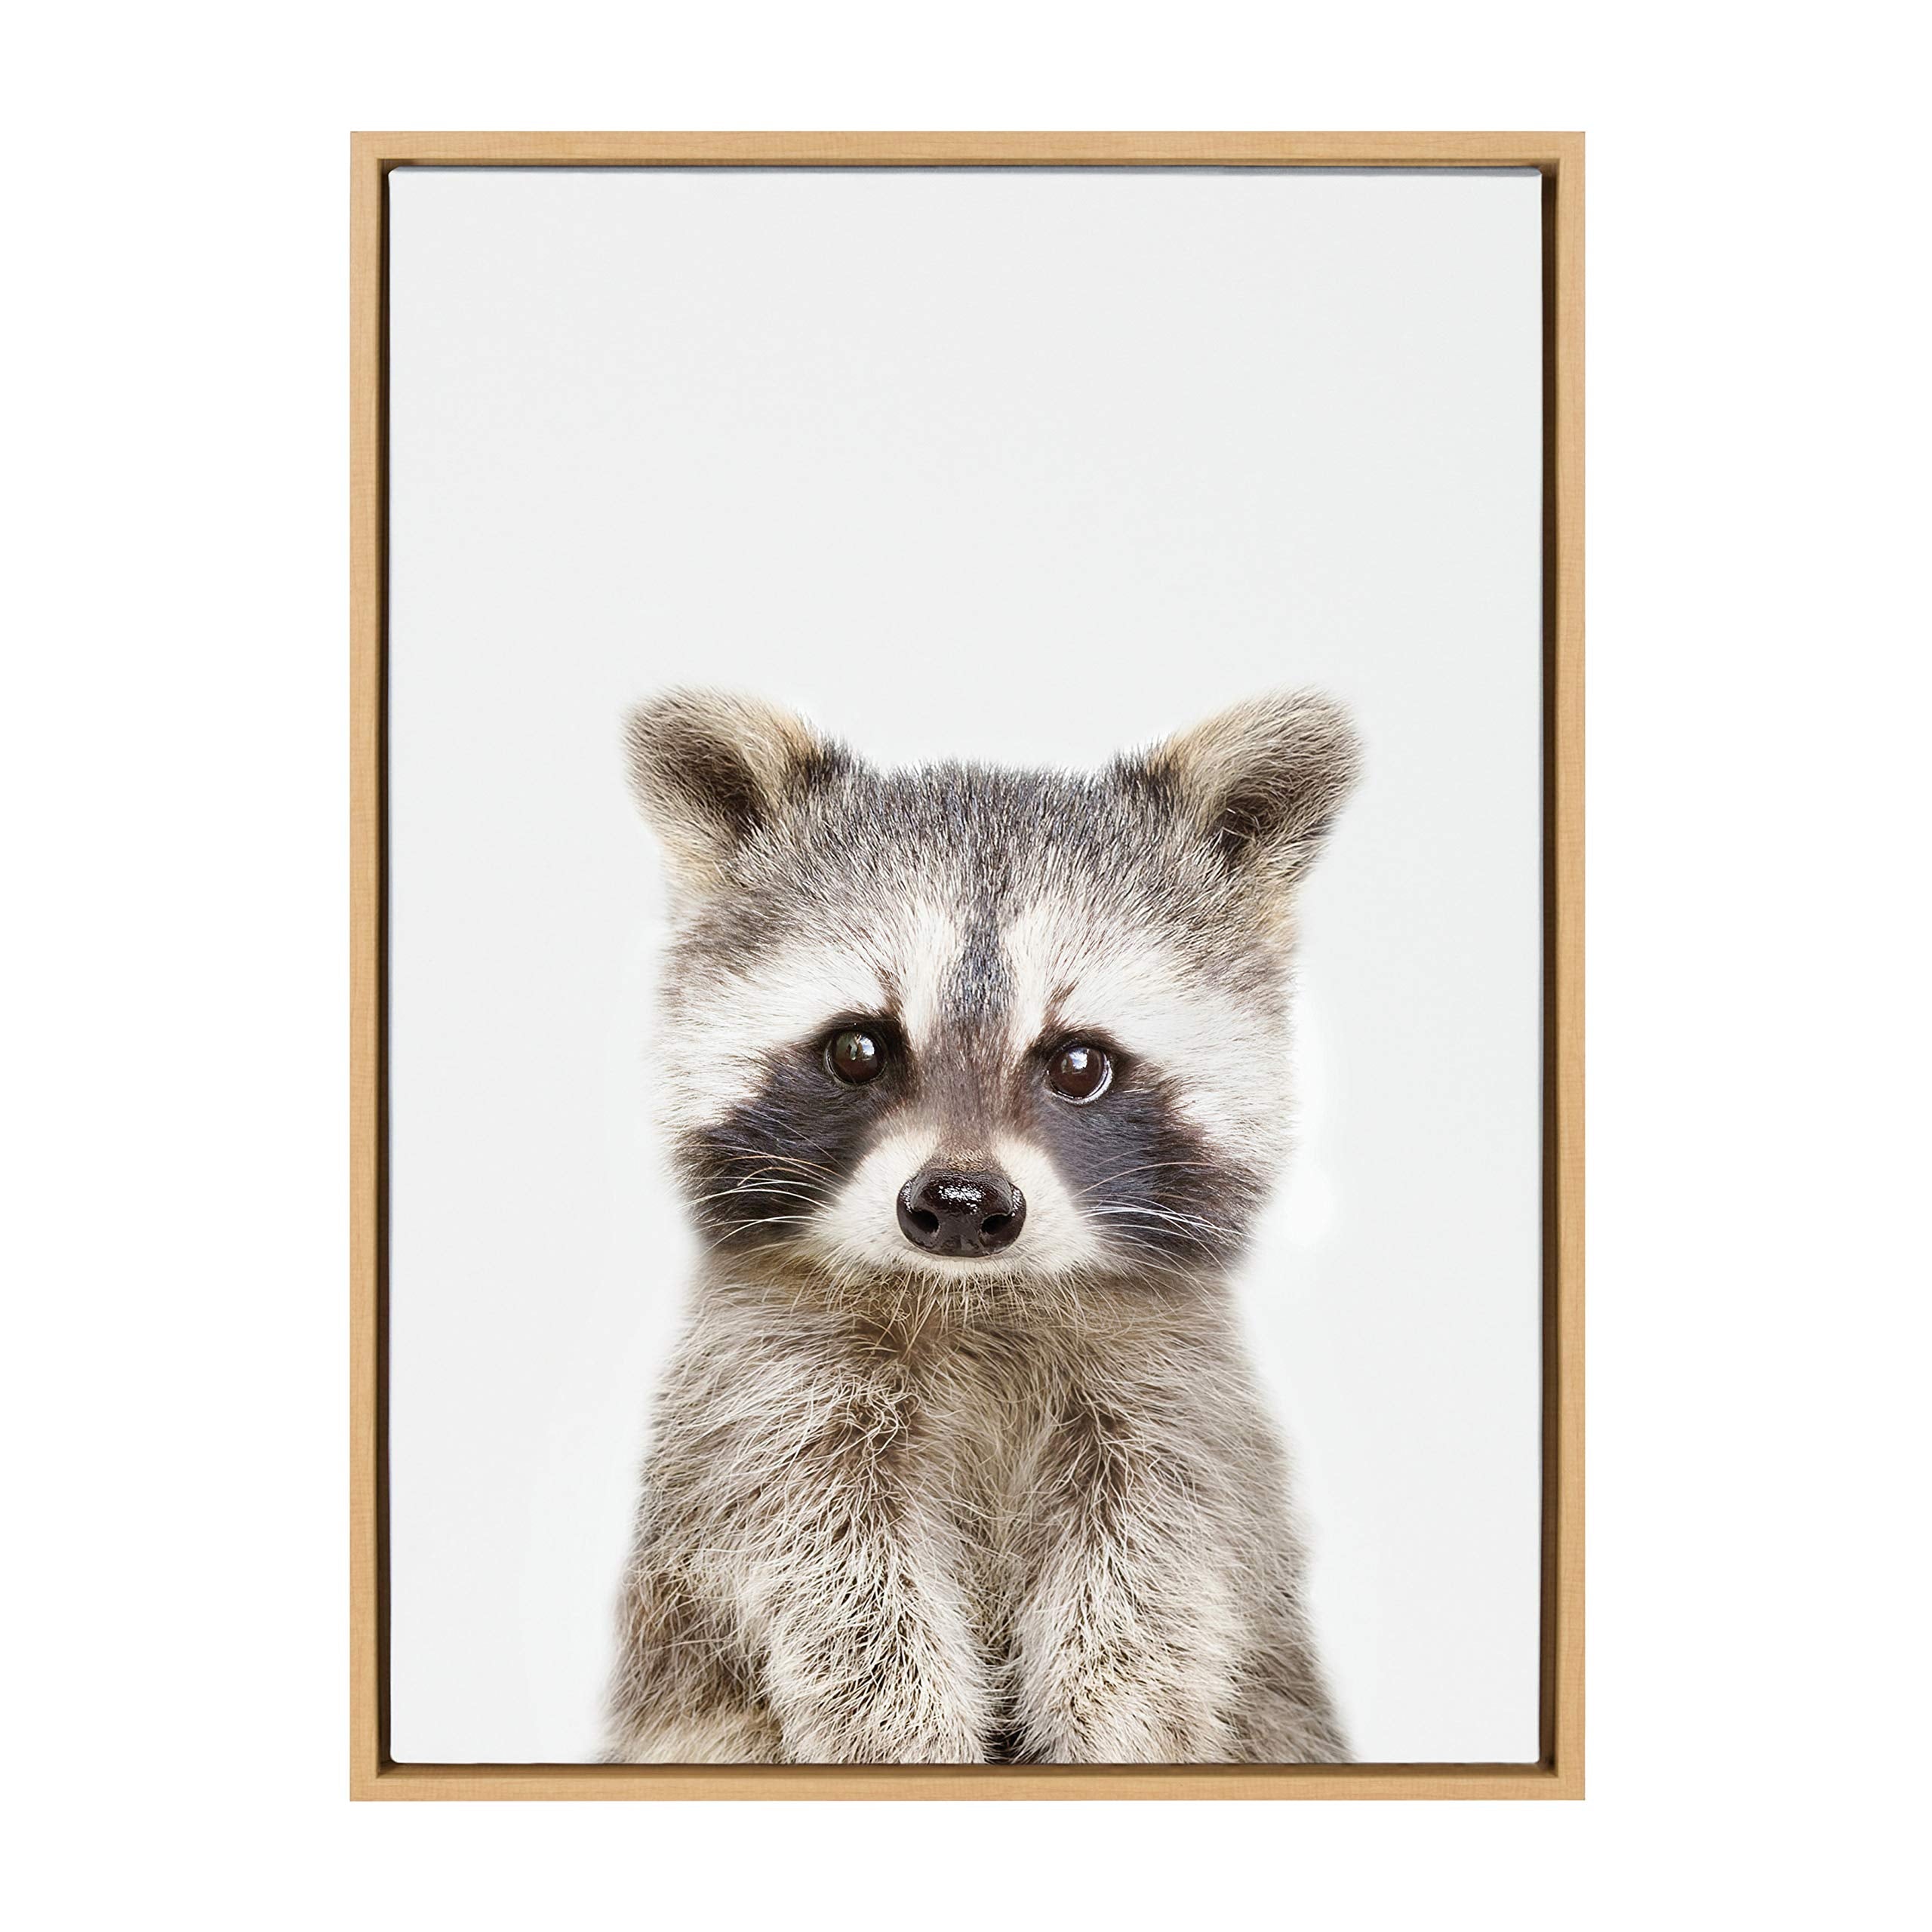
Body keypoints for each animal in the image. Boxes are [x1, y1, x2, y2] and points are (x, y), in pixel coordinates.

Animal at [604, 687, 1359, 1765]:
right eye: (858, 1048)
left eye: (1080, 1063)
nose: (960, 1206)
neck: (975, 1299)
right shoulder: (762, 1395)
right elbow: (830, 1573)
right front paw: (903, 1735)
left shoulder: (1176, 1399)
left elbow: (1156, 1577)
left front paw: (1114, 1724)